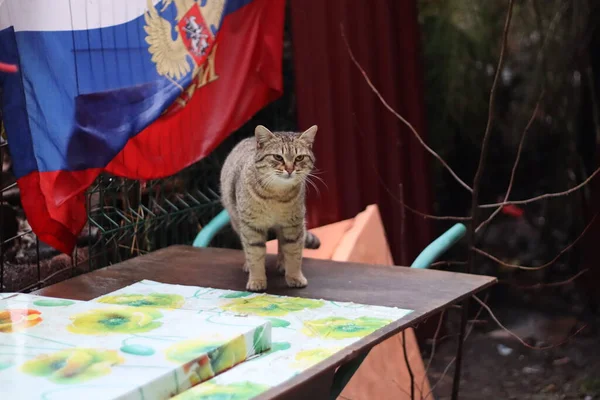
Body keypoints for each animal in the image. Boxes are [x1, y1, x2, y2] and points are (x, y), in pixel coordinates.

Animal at [220, 125, 322, 290]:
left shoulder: (293, 225)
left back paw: (282, 263)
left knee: (281, 243)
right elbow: (254, 254)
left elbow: (293, 253)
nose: (289, 169)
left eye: (299, 158)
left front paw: (294, 276)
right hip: (236, 221)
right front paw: (257, 280)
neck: (276, 195)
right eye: (278, 157)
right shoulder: (251, 226)